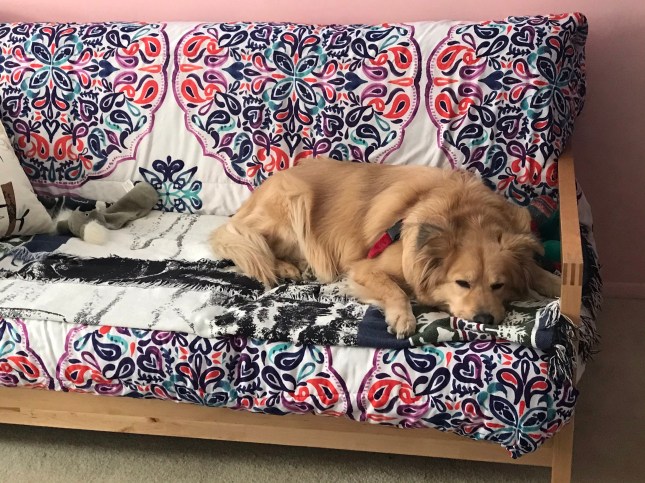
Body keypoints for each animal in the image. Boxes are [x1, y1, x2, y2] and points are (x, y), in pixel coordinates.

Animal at [210, 158, 561, 338]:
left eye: (498, 285)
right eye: (462, 283)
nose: (486, 319)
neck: (465, 216)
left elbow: (537, 272)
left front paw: (559, 284)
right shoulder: (366, 266)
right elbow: (396, 290)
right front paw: (403, 318)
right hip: (294, 204)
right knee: (250, 244)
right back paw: (285, 266)